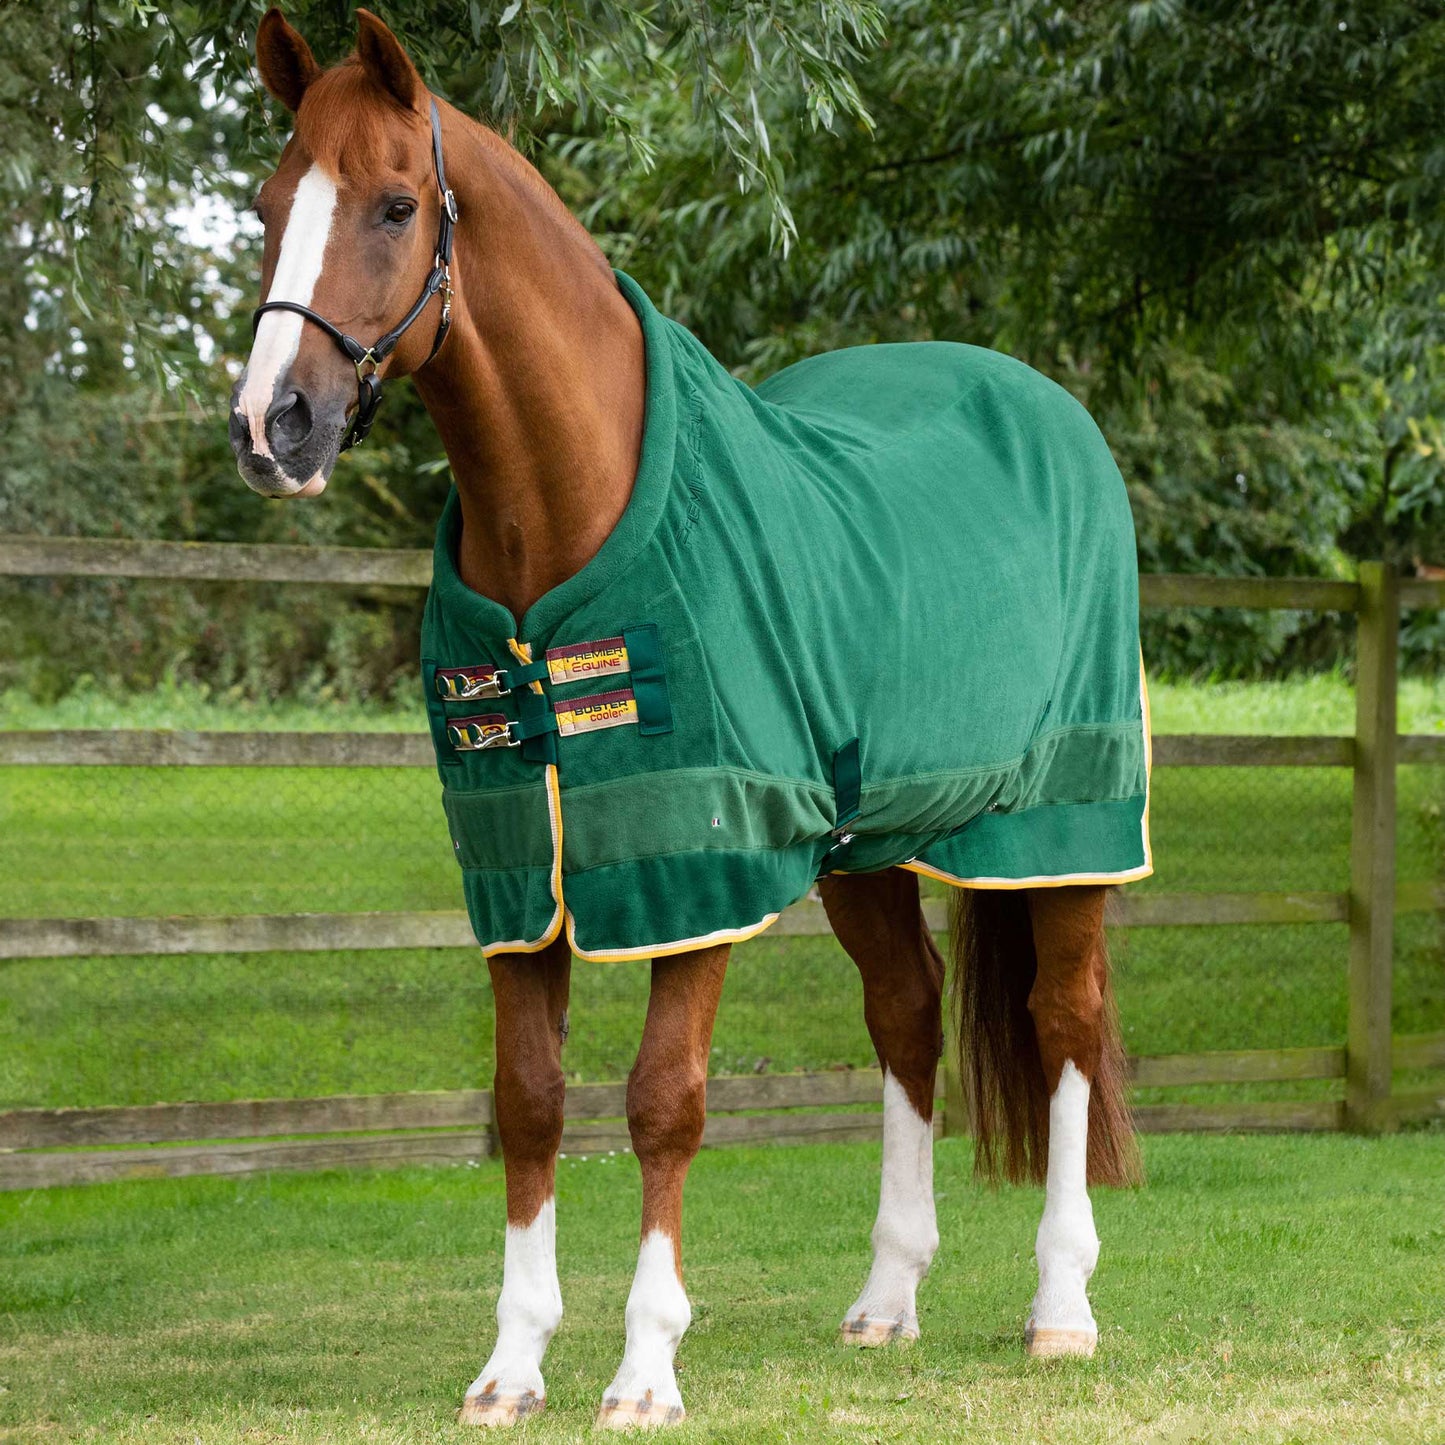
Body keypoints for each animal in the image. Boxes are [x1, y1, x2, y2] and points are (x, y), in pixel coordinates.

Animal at [230, 9, 1145, 1429]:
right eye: (272, 205)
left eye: (392, 203)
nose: (273, 426)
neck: (566, 514)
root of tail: (1044, 407)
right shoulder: (521, 867)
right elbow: (530, 1100)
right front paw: (511, 1366)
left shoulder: (691, 853)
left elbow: (663, 1101)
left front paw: (644, 1370)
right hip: (865, 847)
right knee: (907, 1013)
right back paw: (885, 1300)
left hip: (1060, 817)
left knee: (1062, 1022)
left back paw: (1060, 1306)